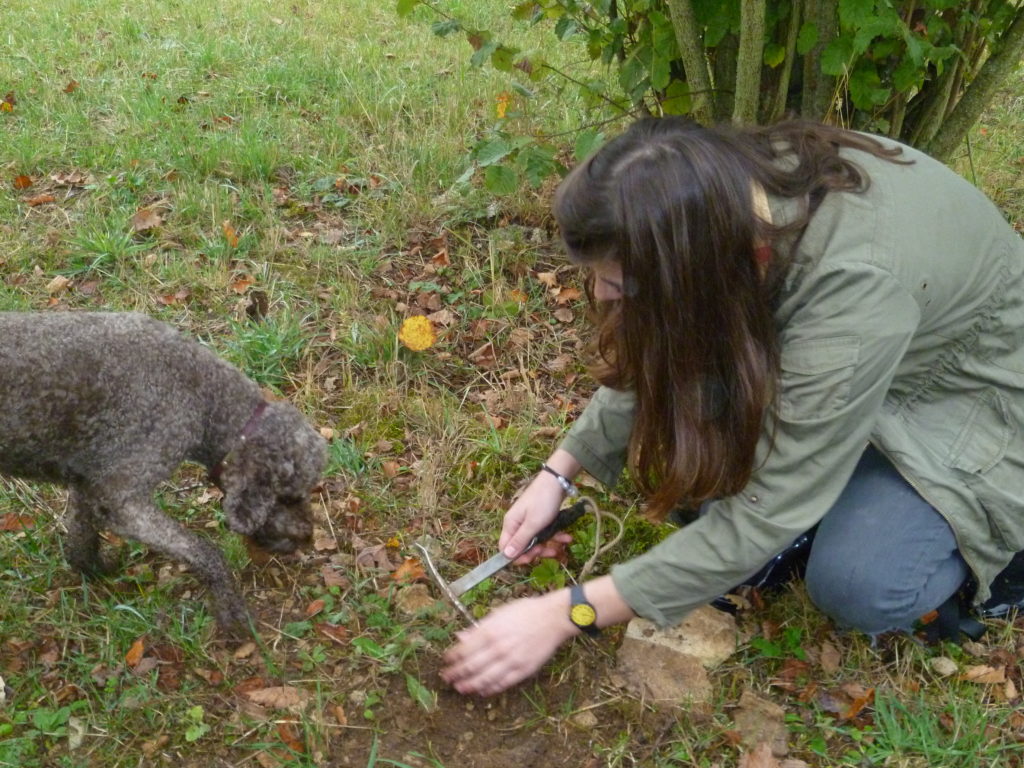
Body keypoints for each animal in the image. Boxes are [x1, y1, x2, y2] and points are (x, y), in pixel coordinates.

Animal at [0, 309, 327, 634]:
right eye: (289, 497)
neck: (203, 398)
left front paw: (94, 571)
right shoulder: (122, 502)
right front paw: (231, 609)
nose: (307, 537)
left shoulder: (88, 482)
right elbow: (207, 552)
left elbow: (81, 538)